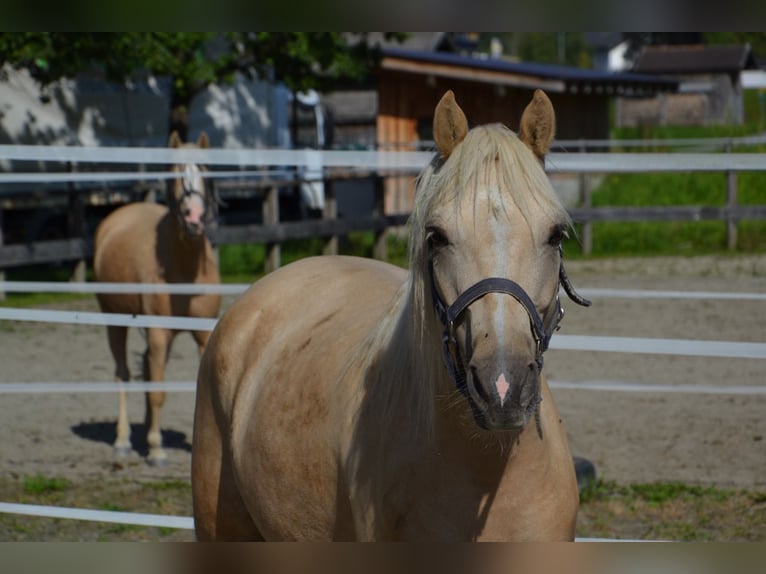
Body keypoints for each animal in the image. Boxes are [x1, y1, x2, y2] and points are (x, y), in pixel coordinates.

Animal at [93, 131, 221, 466]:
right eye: (175, 172)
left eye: (205, 171)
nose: (194, 218)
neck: (184, 268)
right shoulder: (159, 333)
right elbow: (158, 392)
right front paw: (156, 449)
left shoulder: (202, 334)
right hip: (115, 323)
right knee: (123, 375)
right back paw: (123, 440)